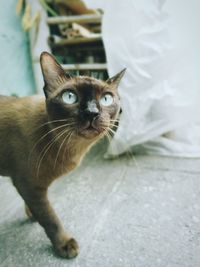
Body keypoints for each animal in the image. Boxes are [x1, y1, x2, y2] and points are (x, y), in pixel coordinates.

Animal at [0, 52, 125, 260]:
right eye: (70, 97)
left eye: (107, 99)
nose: (92, 112)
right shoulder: (29, 185)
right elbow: (50, 219)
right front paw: (64, 245)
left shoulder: (27, 187)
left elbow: (36, 209)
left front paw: (31, 214)